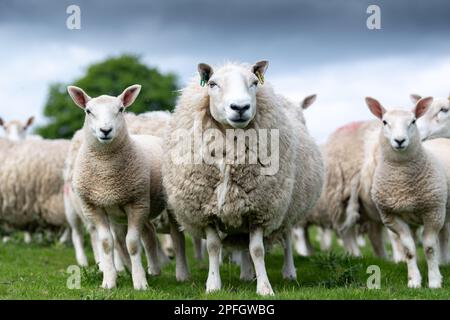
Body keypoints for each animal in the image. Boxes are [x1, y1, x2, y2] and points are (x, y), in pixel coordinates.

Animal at [366, 96, 446, 288]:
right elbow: (408, 249)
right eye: (384, 122)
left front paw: (434, 281)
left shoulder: (433, 212)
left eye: (413, 121)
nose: (400, 141)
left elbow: (429, 248)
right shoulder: (392, 216)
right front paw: (414, 281)